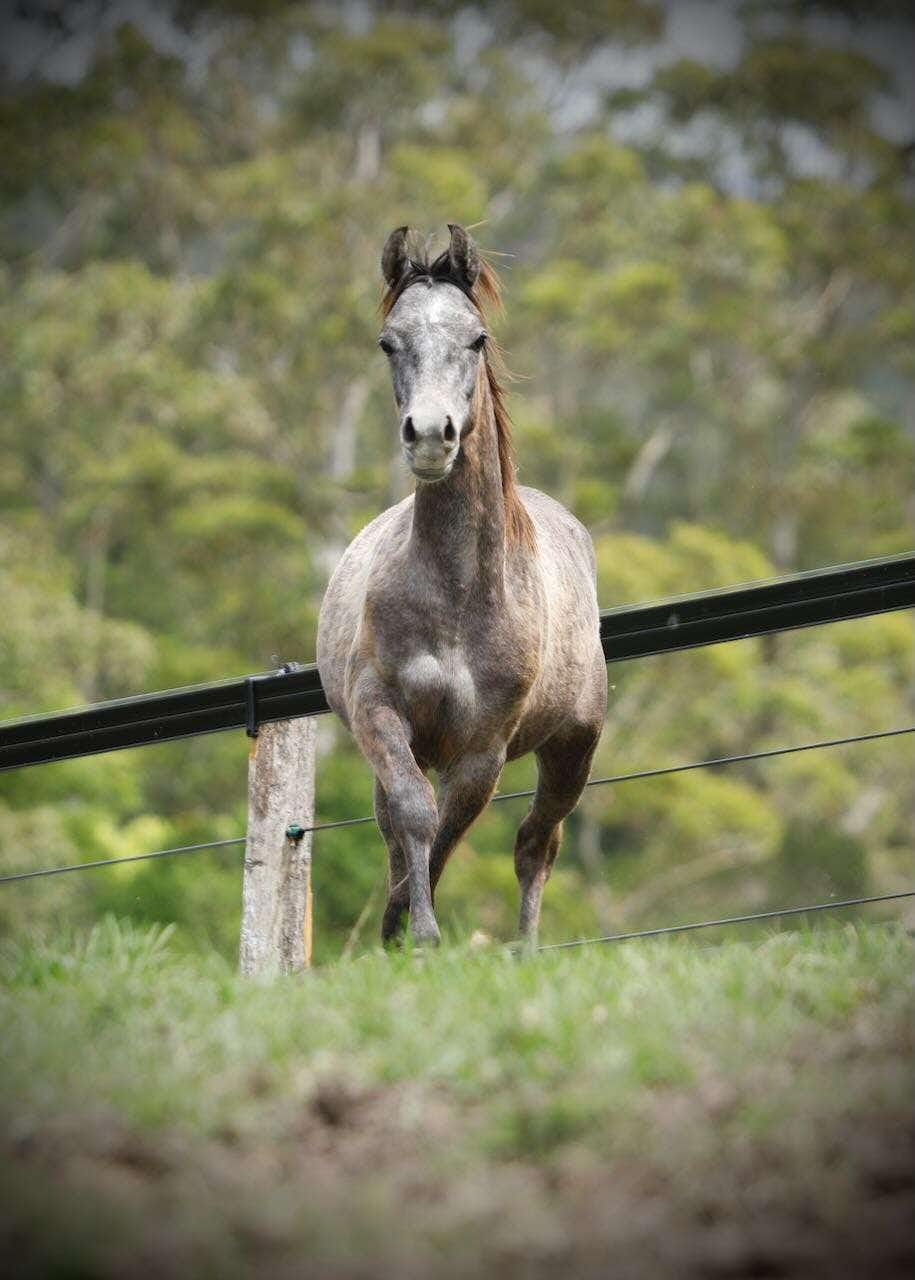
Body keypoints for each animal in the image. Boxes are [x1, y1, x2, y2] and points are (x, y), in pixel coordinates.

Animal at [317, 225, 609, 947]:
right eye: (388, 341)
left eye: (475, 338)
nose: (430, 436)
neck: (455, 596)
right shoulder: (381, 714)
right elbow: (413, 820)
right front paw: (405, 932)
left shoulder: (481, 749)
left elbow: (449, 833)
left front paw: (413, 931)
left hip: (573, 748)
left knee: (538, 843)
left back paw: (525, 948)